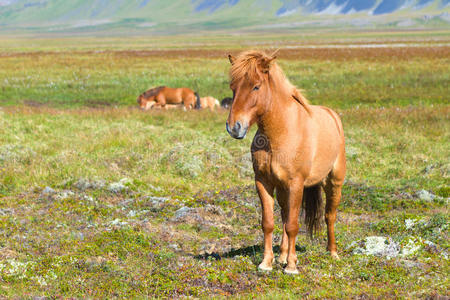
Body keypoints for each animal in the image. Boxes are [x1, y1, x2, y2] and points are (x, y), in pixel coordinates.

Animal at [227, 51, 346, 274]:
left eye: (256, 86)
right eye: (233, 87)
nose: (234, 127)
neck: (280, 132)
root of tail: (332, 115)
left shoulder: (296, 184)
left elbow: (293, 225)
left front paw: (291, 266)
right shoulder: (264, 182)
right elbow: (269, 222)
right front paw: (266, 263)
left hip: (334, 182)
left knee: (330, 216)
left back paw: (332, 252)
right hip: (283, 189)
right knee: (284, 214)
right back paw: (281, 255)